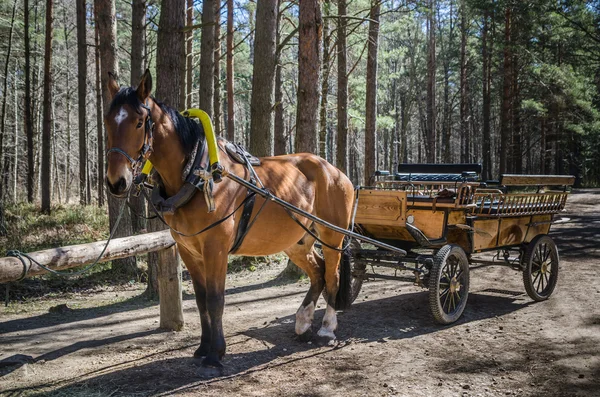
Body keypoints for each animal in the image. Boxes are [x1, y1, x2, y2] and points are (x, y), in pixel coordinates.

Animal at [103, 69, 356, 366]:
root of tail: (335, 171)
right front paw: (203, 347)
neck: (196, 174)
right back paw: (303, 321)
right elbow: (201, 300)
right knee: (317, 272)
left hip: (332, 235)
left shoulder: (216, 247)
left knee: (332, 275)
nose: (116, 182)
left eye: (140, 122)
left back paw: (327, 328)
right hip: (297, 240)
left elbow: (215, 300)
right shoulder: (189, 250)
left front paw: (216, 352)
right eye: (107, 120)